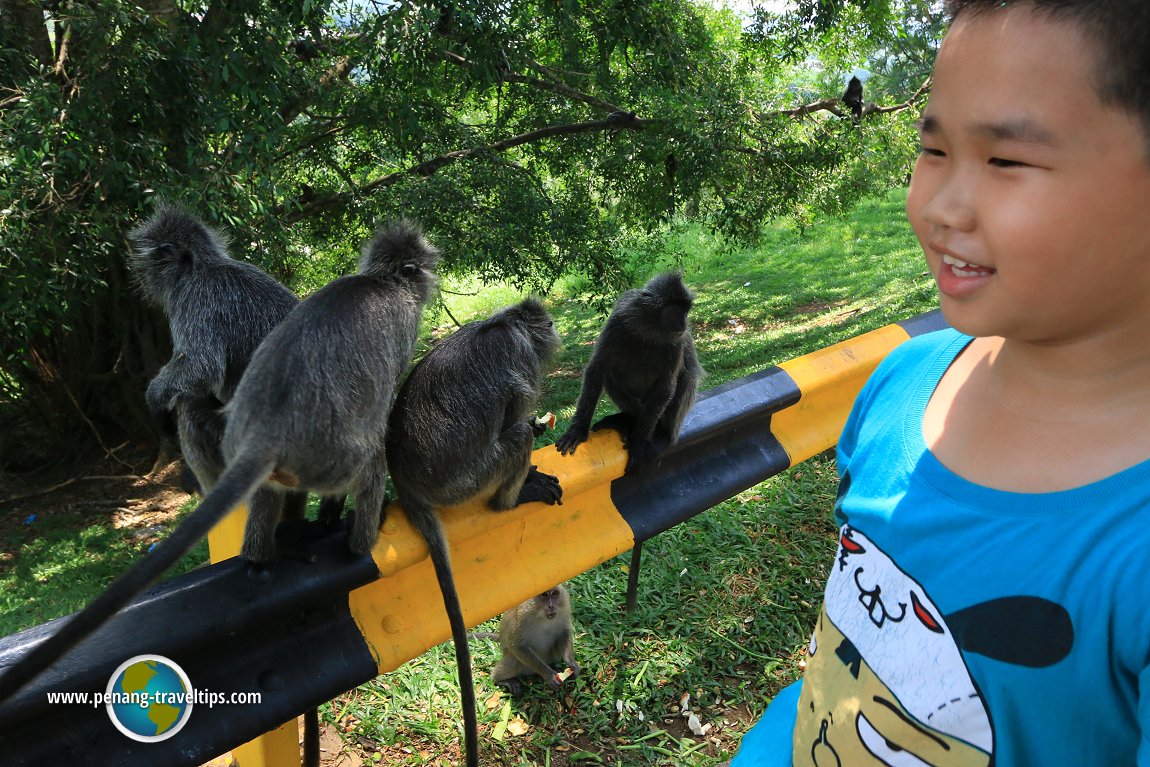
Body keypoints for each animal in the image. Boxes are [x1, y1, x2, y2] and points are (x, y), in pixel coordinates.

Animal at [0, 218, 439, 703]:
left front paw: (155, 400)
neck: (208, 265)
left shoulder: (196, 298)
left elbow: (198, 370)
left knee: (191, 408)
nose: (141, 278)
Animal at [386, 298, 565, 767]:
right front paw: (536, 433)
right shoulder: (521, 362)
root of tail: (406, 483)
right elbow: (517, 416)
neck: (503, 322)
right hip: (469, 479)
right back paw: (513, 497)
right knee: (514, 435)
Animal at [554, 270, 703, 473]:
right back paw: (628, 419)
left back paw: (663, 435)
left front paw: (639, 444)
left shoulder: (676, 343)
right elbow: (597, 368)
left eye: (685, 312)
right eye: (674, 313)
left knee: (687, 378)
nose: (684, 324)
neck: (649, 332)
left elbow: (666, 386)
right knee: (610, 376)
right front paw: (577, 430)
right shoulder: (618, 322)